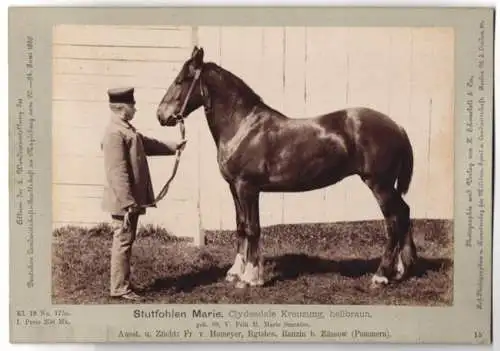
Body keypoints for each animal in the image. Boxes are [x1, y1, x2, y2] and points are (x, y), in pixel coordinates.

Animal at [157, 46, 418, 288]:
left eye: (181, 80)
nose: (161, 115)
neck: (243, 126)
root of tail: (398, 126)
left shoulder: (247, 188)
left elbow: (252, 228)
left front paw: (251, 278)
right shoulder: (235, 188)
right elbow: (241, 226)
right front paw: (235, 273)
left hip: (379, 185)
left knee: (393, 220)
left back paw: (381, 275)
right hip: (387, 186)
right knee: (404, 213)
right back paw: (401, 270)